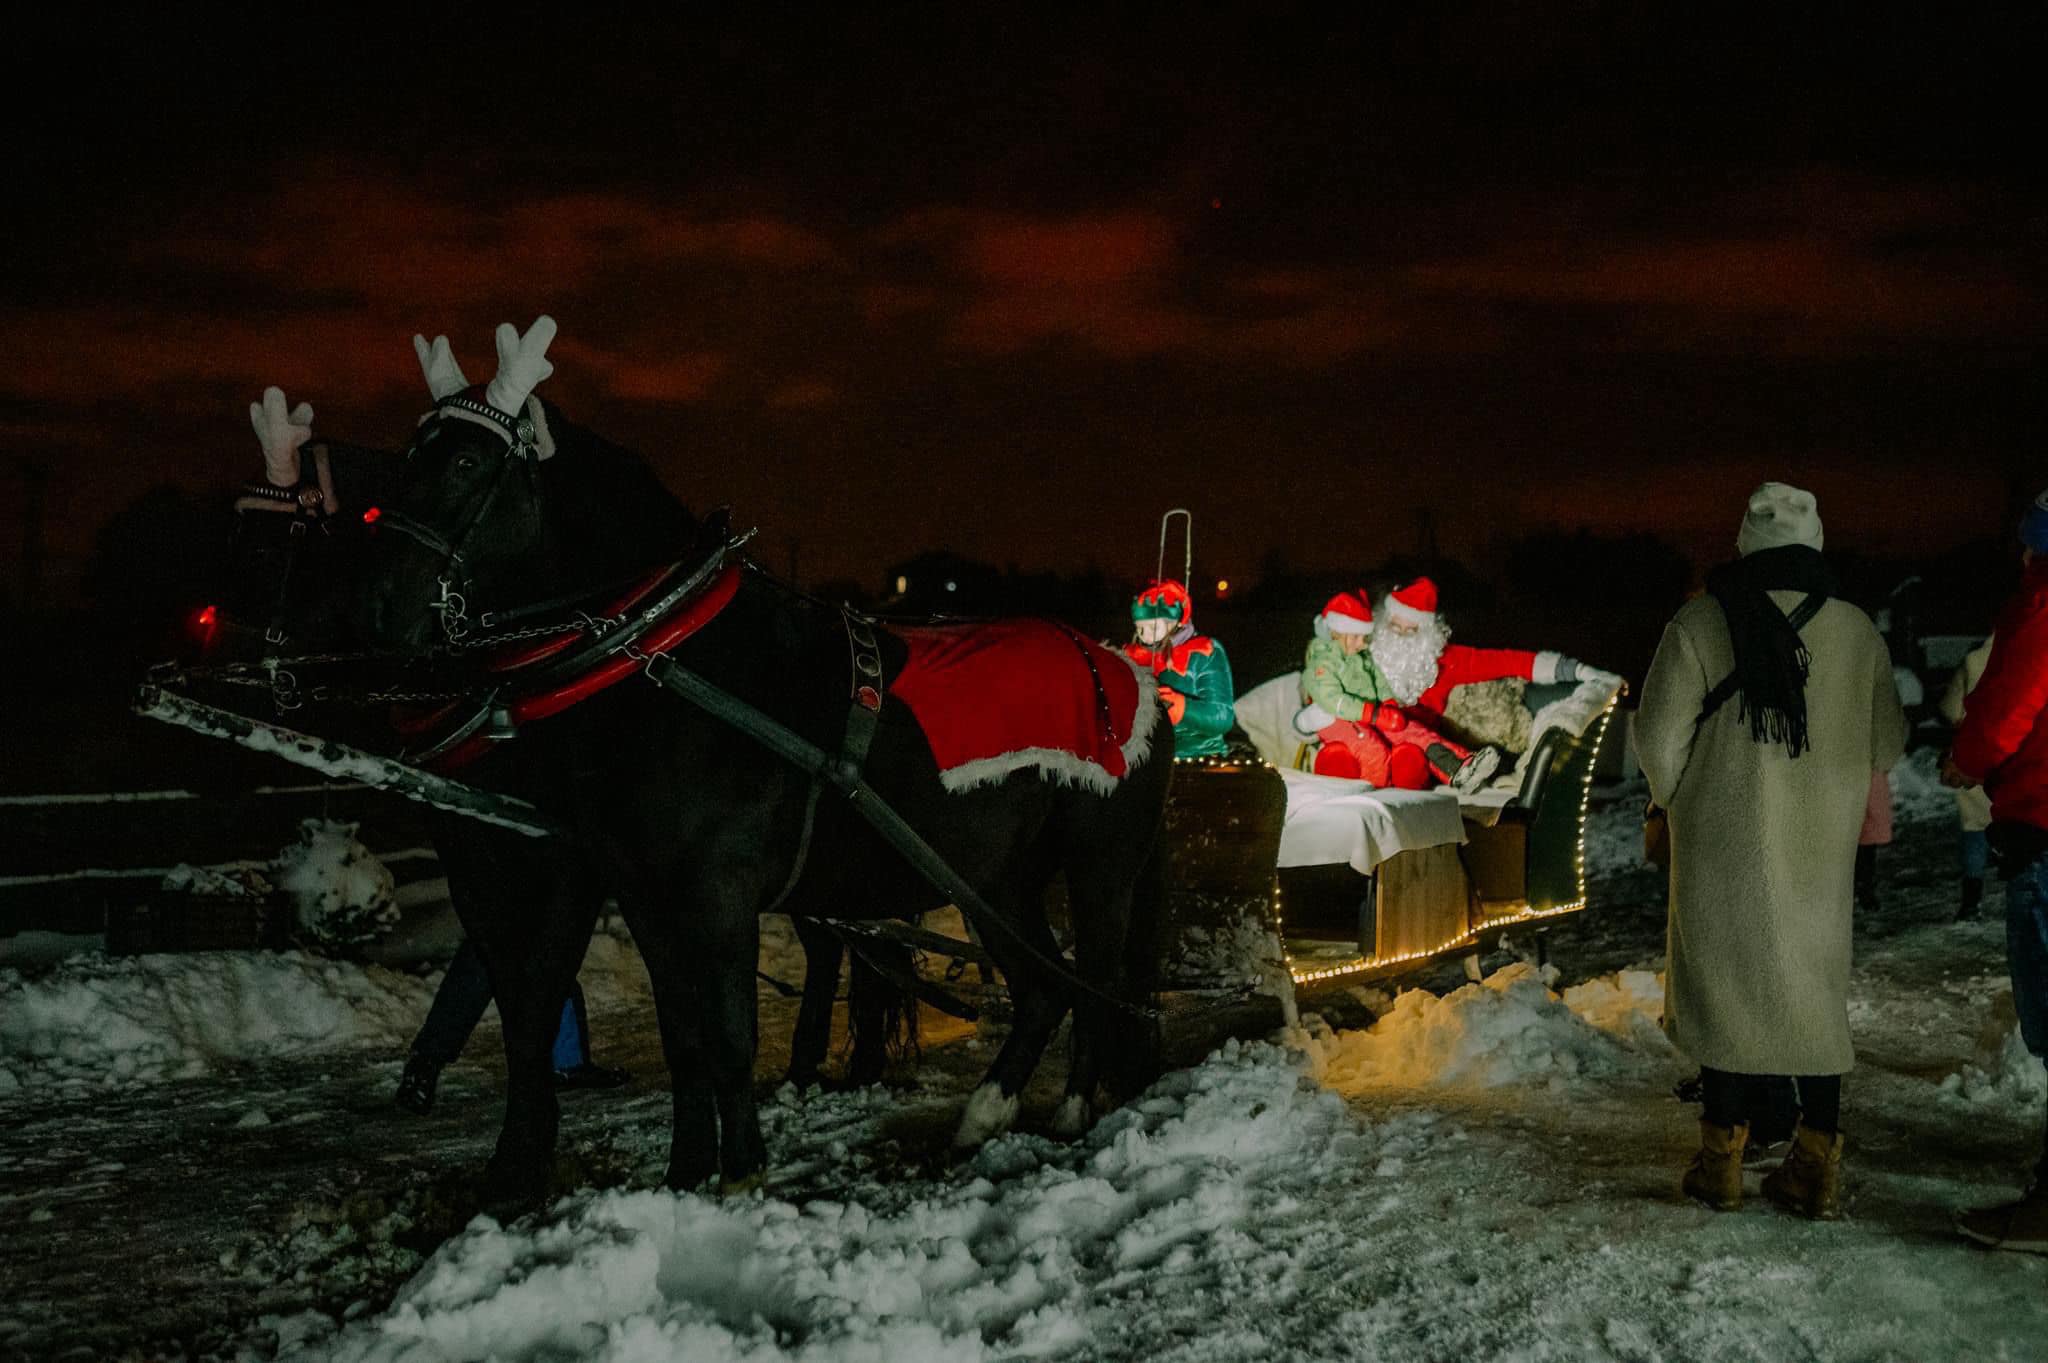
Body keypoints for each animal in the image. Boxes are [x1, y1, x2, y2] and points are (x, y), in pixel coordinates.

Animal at [356, 358, 1171, 1186]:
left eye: (465, 461)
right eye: (409, 455)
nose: (377, 608)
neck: (673, 657)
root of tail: (1127, 674)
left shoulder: (716, 891)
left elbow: (727, 1034)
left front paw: (742, 1166)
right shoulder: (643, 893)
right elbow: (682, 1034)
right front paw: (687, 1170)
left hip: (1098, 867)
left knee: (1096, 979)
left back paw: (1072, 1106)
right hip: (993, 878)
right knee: (1043, 988)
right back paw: (986, 1111)